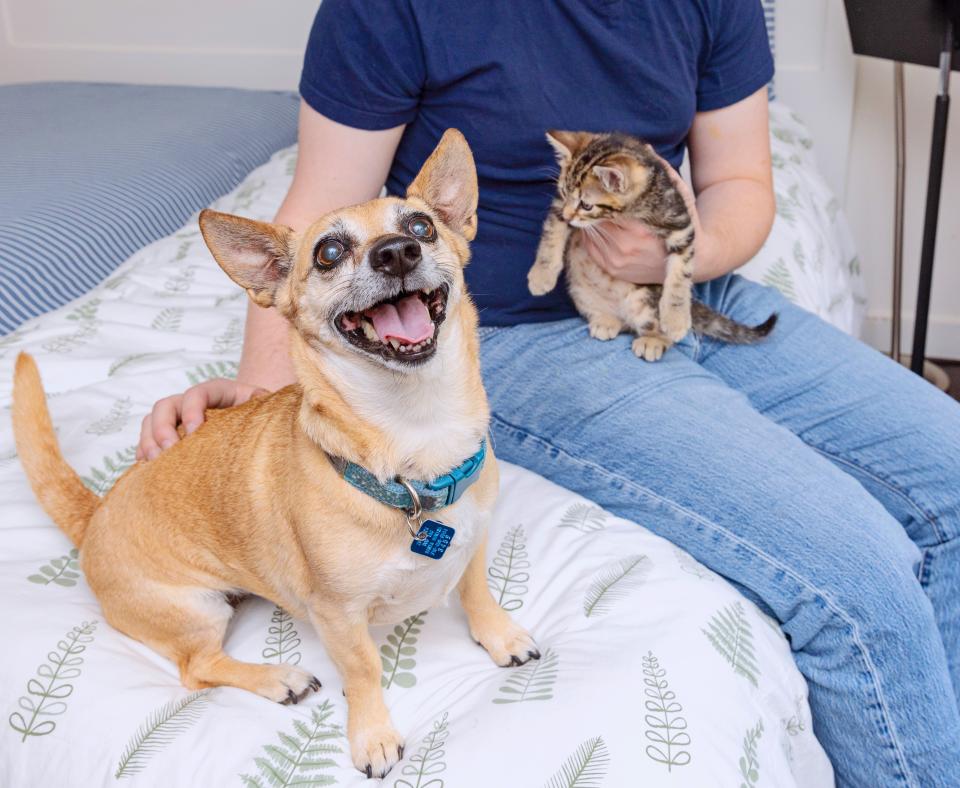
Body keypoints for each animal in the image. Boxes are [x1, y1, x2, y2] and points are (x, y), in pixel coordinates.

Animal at [11, 127, 540, 776]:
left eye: (421, 227)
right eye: (330, 252)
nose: (396, 252)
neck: (416, 434)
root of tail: (94, 516)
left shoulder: (474, 539)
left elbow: (476, 590)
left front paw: (499, 636)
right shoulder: (339, 617)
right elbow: (363, 670)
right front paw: (372, 735)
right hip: (198, 611)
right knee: (197, 669)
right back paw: (277, 679)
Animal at [528, 131, 776, 362]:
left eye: (586, 205)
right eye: (563, 192)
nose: (569, 216)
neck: (630, 210)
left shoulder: (680, 223)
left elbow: (681, 272)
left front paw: (675, 318)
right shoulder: (559, 206)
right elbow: (552, 231)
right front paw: (542, 276)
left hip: (646, 299)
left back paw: (654, 339)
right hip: (580, 291)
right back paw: (605, 320)